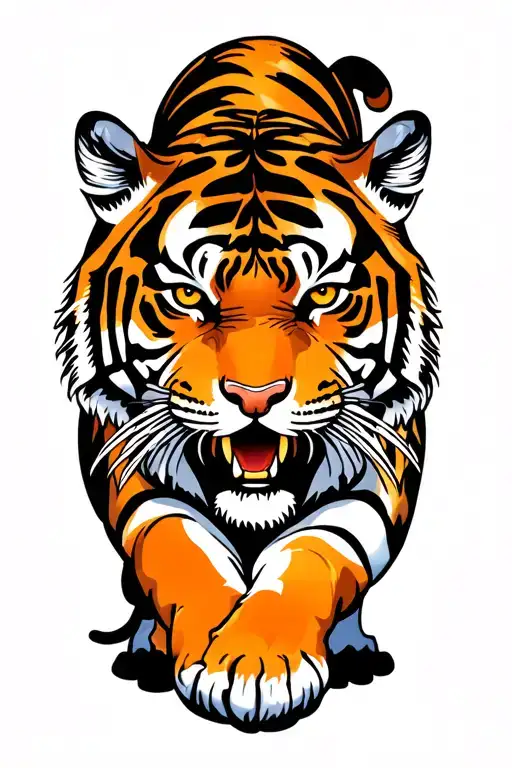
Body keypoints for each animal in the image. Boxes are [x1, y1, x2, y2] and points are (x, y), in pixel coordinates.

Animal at [56, 36, 440, 731]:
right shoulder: (129, 465)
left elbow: (317, 553)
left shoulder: (383, 469)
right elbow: (181, 548)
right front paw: (216, 657)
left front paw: (260, 663)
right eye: (188, 296)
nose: (254, 399)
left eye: (323, 296)